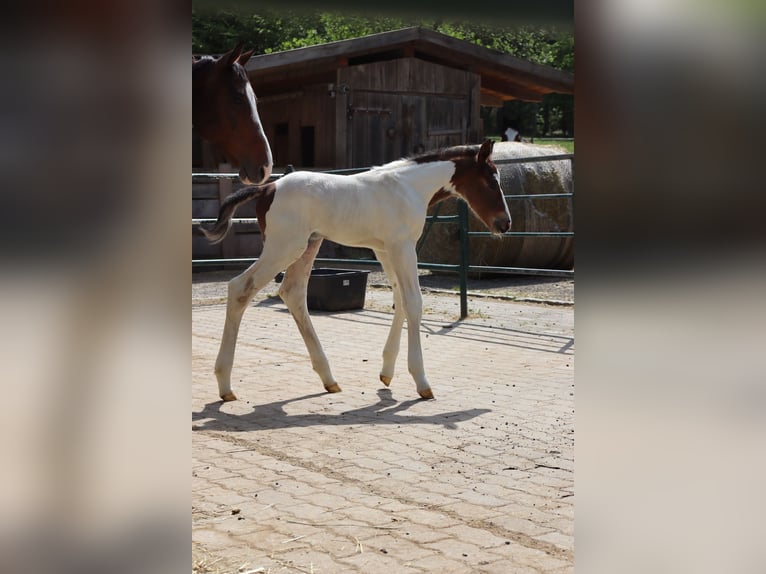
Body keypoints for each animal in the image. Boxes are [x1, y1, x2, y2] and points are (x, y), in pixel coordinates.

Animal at [204, 140, 512, 402]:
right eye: (490, 181)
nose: (505, 223)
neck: (408, 188)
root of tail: (268, 188)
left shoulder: (385, 250)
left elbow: (399, 299)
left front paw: (387, 372)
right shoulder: (403, 247)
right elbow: (413, 302)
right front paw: (422, 382)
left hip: (308, 245)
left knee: (293, 292)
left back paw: (328, 379)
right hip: (284, 247)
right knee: (240, 288)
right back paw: (225, 385)